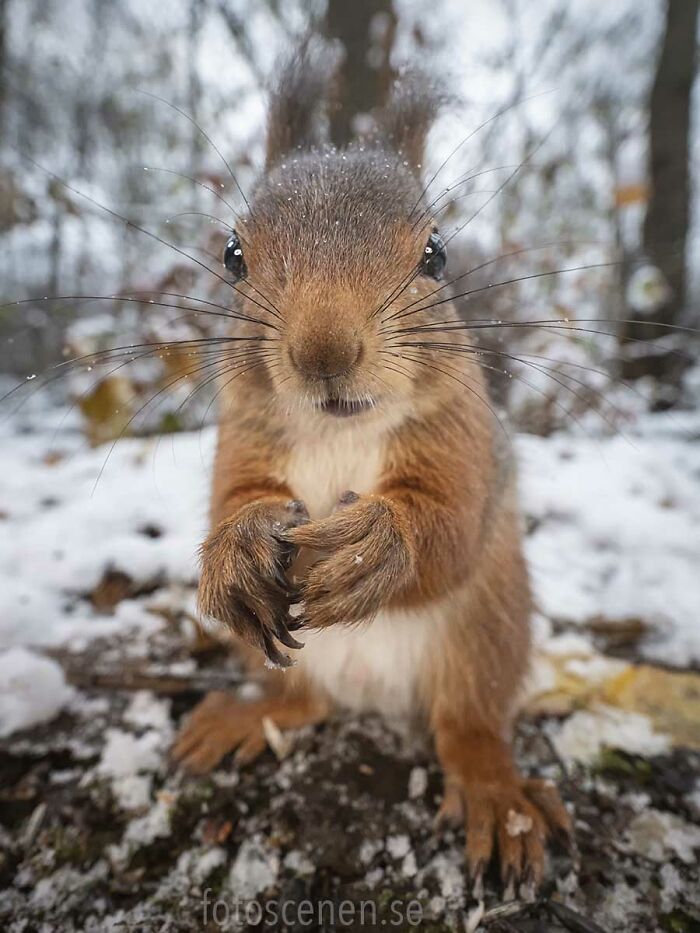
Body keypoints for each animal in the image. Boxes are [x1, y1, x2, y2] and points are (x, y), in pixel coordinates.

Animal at [172, 44, 572, 893]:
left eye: (435, 253)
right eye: (232, 255)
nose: (324, 349)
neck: (339, 430)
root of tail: (372, 697)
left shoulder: (465, 435)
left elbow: (452, 518)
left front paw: (373, 547)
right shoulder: (242, 432)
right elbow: (232, 495)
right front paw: (237, 549)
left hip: (488, 627)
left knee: (468, 726)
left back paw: (498, 795)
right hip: (279, 654)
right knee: (302, 700)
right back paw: (247, 712)